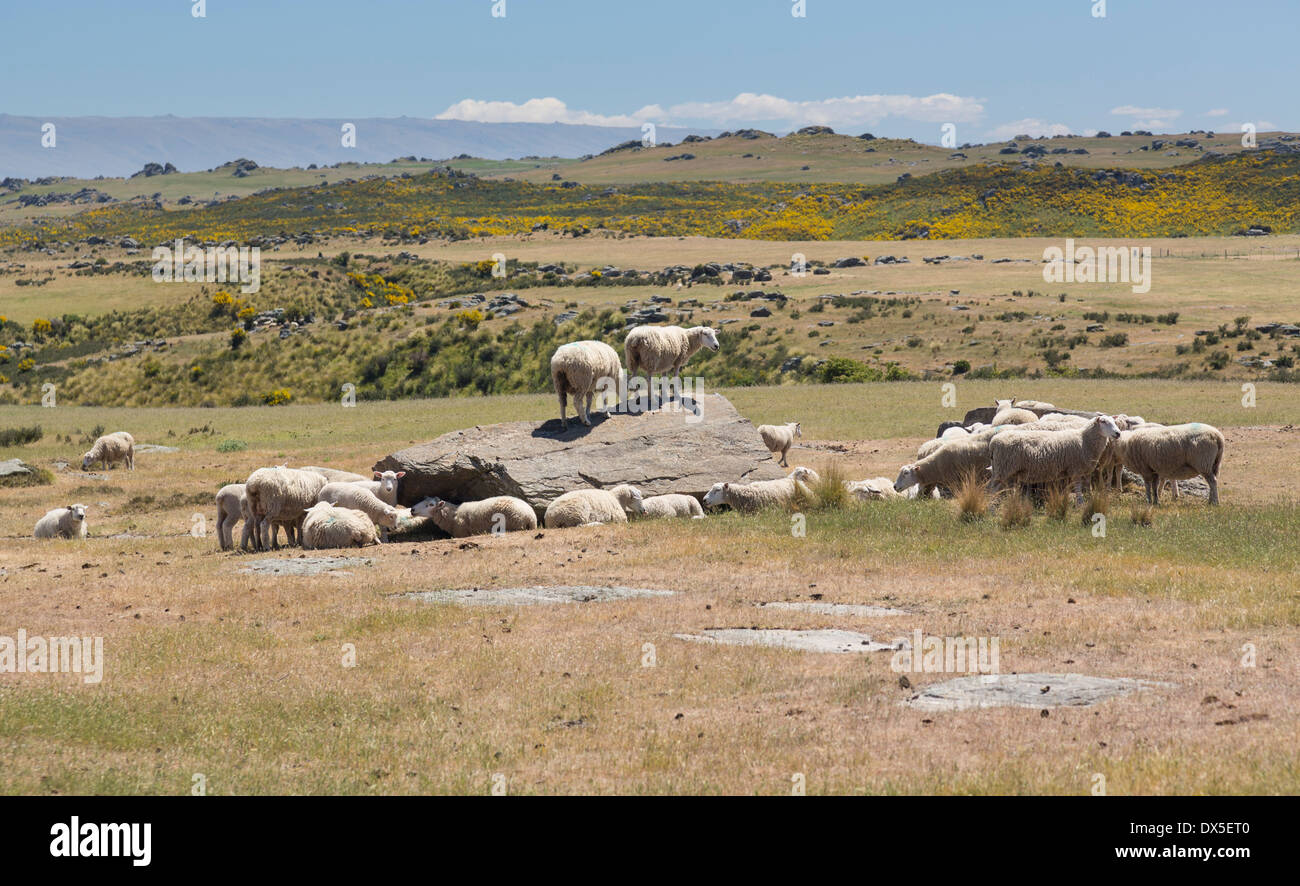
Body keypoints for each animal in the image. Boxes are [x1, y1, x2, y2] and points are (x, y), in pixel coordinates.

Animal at [987, 413, 1123, 496]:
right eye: (1103, 422)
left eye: (1114, 421)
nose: (1118, 433)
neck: (1083, 439)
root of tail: (993, 442)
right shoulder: (1076, 468)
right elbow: (1078, 490)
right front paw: (1081, 504)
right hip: (1003, 469)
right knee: (992, 490)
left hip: (1003, 470)